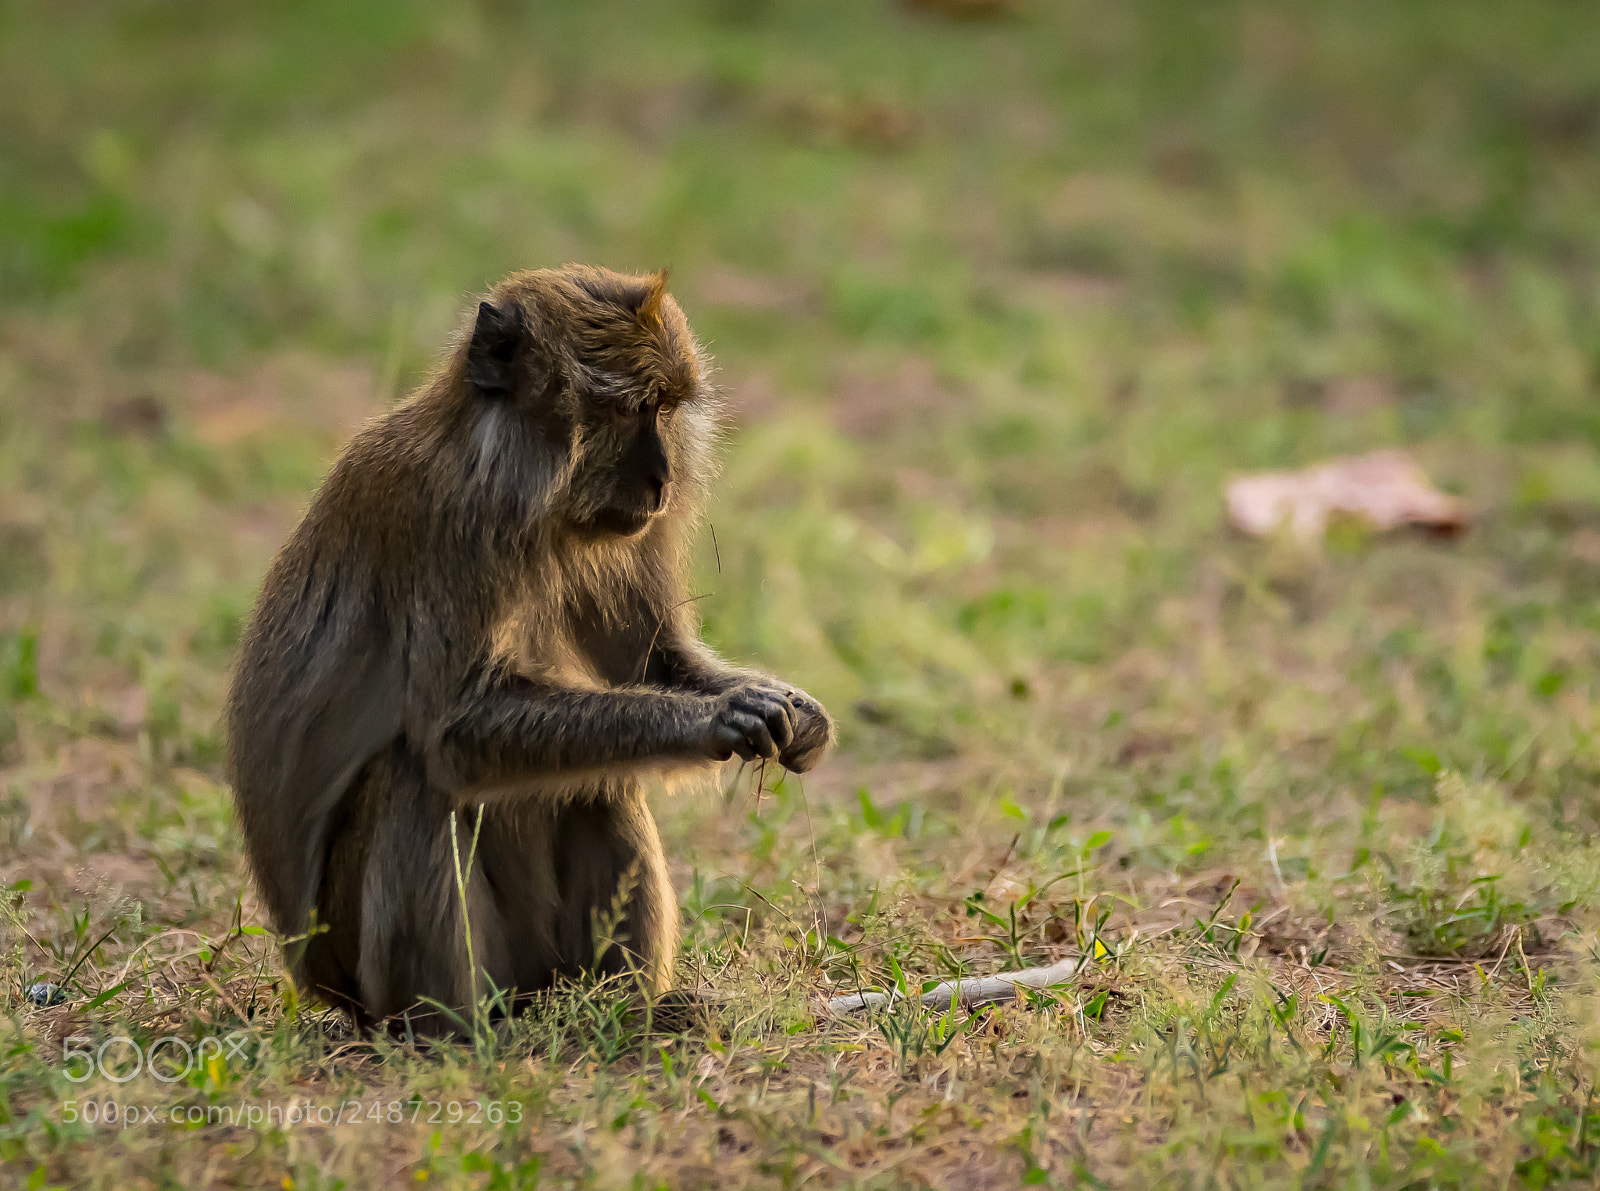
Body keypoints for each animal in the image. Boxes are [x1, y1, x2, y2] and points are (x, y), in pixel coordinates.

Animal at [225, 265, 833, 1033]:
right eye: (630, 408)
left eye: (665, 408)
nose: (662, 479)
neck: (526, 482)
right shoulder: (449, 519)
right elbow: (454, 730)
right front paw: (714, 720)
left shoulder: (628, 534)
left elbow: (651, 665)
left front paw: (789, 710)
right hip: (366, 968)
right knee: (414, 775)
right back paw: (453, 1031)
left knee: (598, 778)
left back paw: (625, 1008)